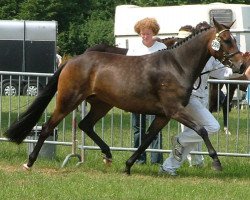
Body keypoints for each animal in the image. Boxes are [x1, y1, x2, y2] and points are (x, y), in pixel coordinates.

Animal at [4, 19, 244, 175]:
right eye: (226, 40)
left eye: (234, 39)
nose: (241, 65)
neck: (177, 66)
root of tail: (71, 61)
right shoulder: (174, 110)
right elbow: (202, 130)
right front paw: (217, 162)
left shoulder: (163, 115)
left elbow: (147, 139)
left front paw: (128, 165)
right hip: (67, 101)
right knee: (47, 128)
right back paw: (29, 163)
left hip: (101, 104)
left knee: (85, 125)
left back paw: (108, 155)